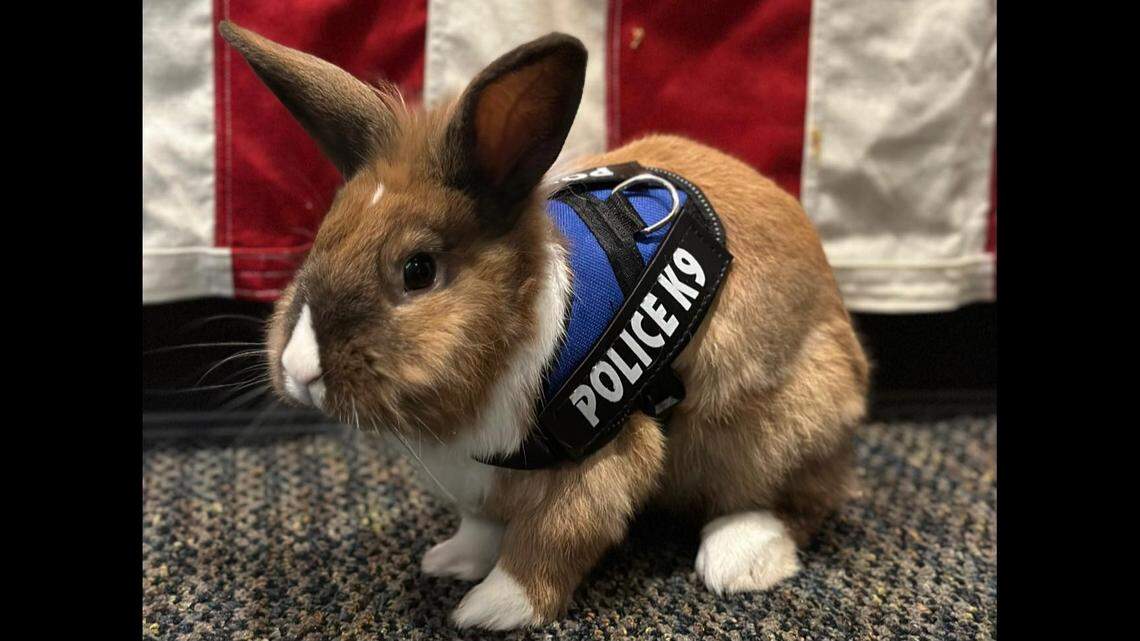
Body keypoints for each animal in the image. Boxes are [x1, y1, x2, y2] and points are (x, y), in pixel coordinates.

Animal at [221, 21, 869, 631]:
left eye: (418, 270)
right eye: (322, 239)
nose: (299, 368)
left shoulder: (600, 459)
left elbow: (553, 539)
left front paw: (492, 607)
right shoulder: (481, 479)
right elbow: (482, 526)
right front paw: (451, 561)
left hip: (771, 427)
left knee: (794, 499)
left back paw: (737, 560)